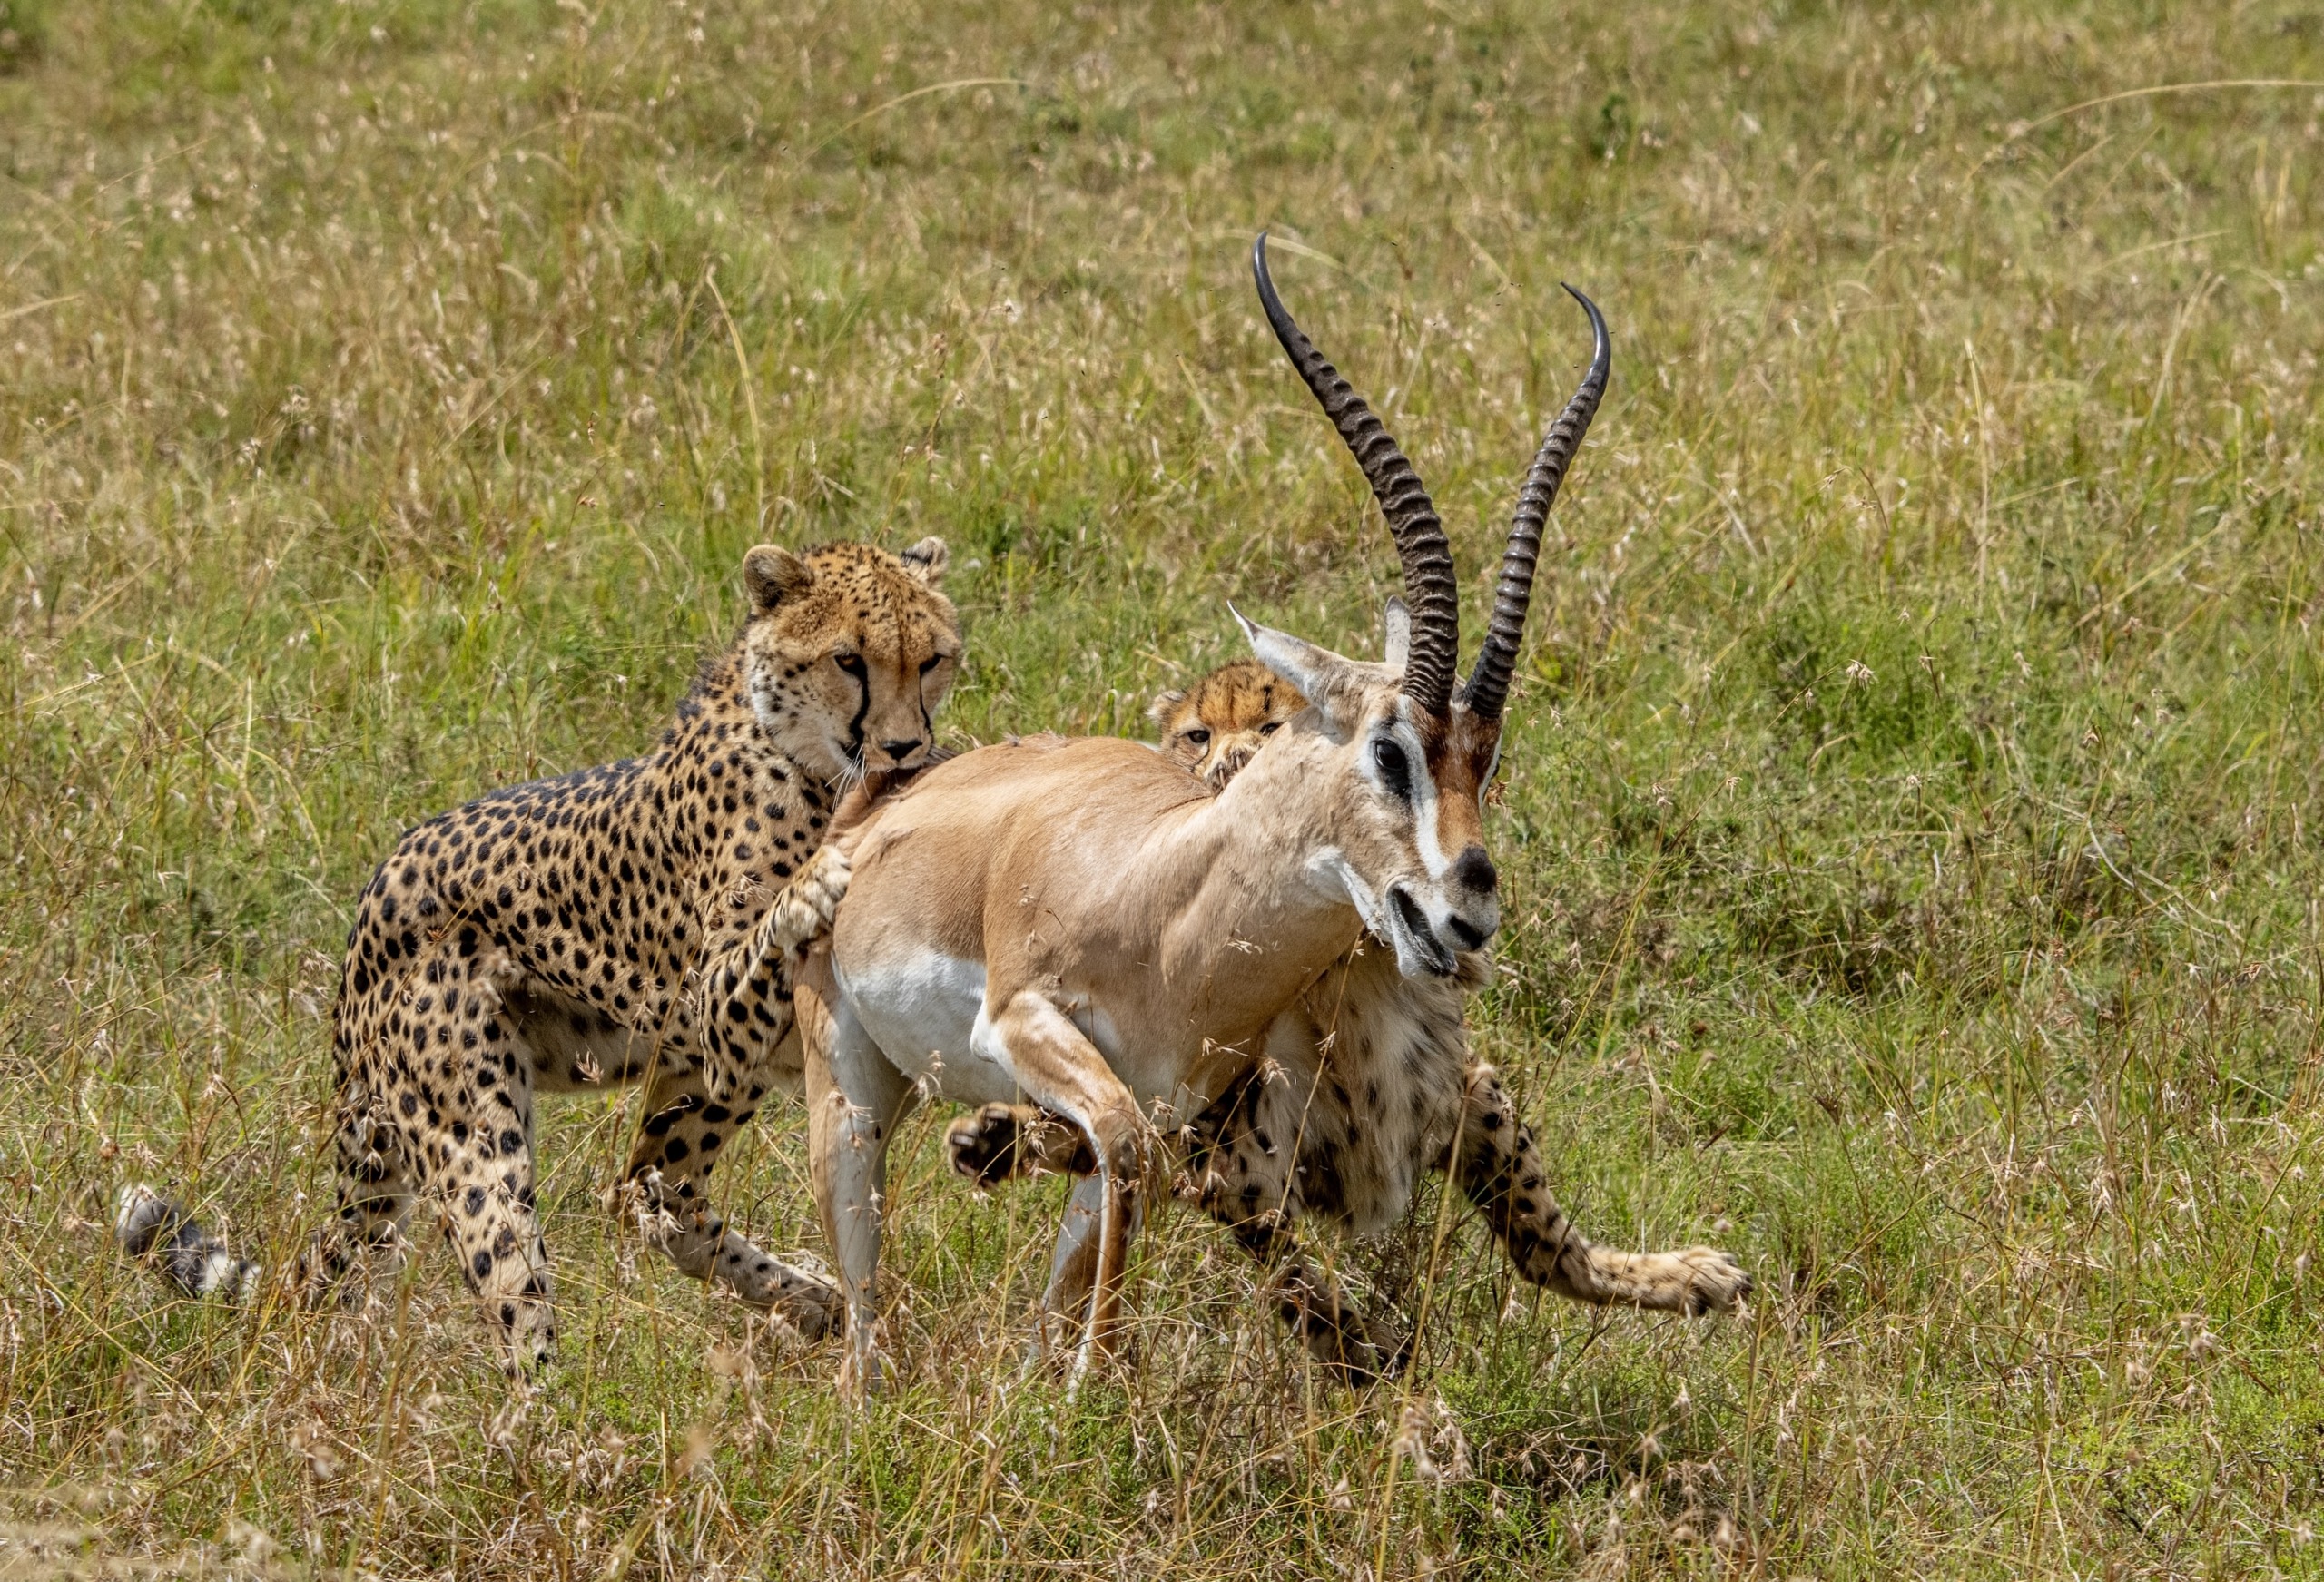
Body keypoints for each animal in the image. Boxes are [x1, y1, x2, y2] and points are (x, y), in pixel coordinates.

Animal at [123, 536, 957, 1365]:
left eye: (932, 660)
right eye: (848, 659)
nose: (904, 745)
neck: (801, 753)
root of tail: (369, 906)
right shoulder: (708, 1010)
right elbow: (765, 945)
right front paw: (815, 885)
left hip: (678, 1083)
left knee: (650, 1194)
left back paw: (812, 1299)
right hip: (475, 1129)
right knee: (527, 1280)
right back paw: (561, 1397)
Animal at [943, 645, 1748, 1375]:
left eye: (1271, 724)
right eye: (1199, 735)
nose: (1230, 763)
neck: (1341, 974)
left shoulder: (1464, 1090)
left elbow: (1541, 1239)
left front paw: (1681, 1275)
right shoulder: (1237, 1168)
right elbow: (1315, 1302)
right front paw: (1394, 1372)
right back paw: (996, 1139)